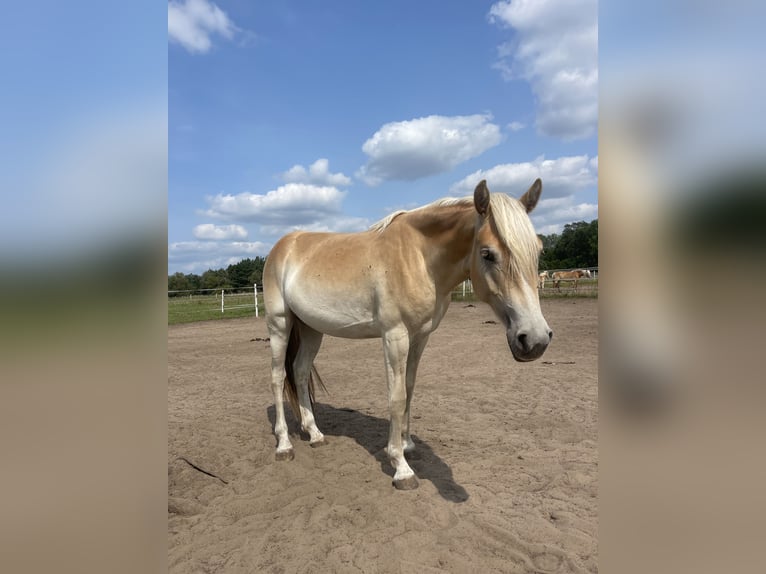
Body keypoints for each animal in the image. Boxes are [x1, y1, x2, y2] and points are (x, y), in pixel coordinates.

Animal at [264, 179, 552, 490]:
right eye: (487, 253)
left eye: (538, 251)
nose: (535, 339)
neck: (419, 258)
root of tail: (284, 245)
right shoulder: (395, 336)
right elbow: (397, 396)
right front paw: (400, 467)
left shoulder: (420, 336)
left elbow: (410, 388)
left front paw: (407, 444)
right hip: (280, 325)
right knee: (278, 376)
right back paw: (284, 445)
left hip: (311, 329)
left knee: (300, 371)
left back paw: (315, 434)